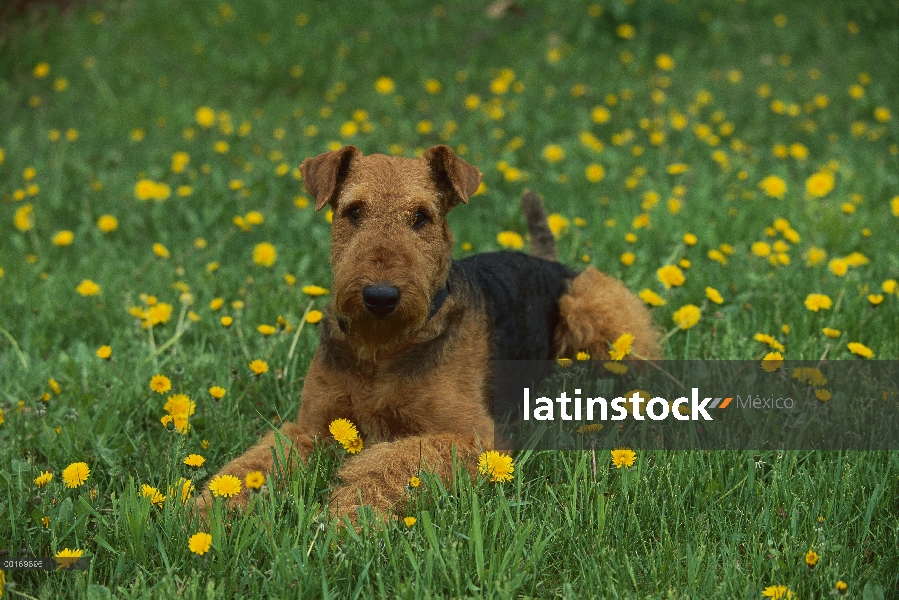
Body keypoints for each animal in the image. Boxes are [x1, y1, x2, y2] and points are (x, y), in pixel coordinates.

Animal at [202, 144, 660, 520]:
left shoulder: (471, 435)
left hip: (593, 314)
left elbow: (389, 461)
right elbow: (255, 464)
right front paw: (203, 511)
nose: (380, 296)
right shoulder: (312, 426)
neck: (382, 348)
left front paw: (347, 518)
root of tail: (547, 262)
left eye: (421, 217)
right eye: (354, 211)